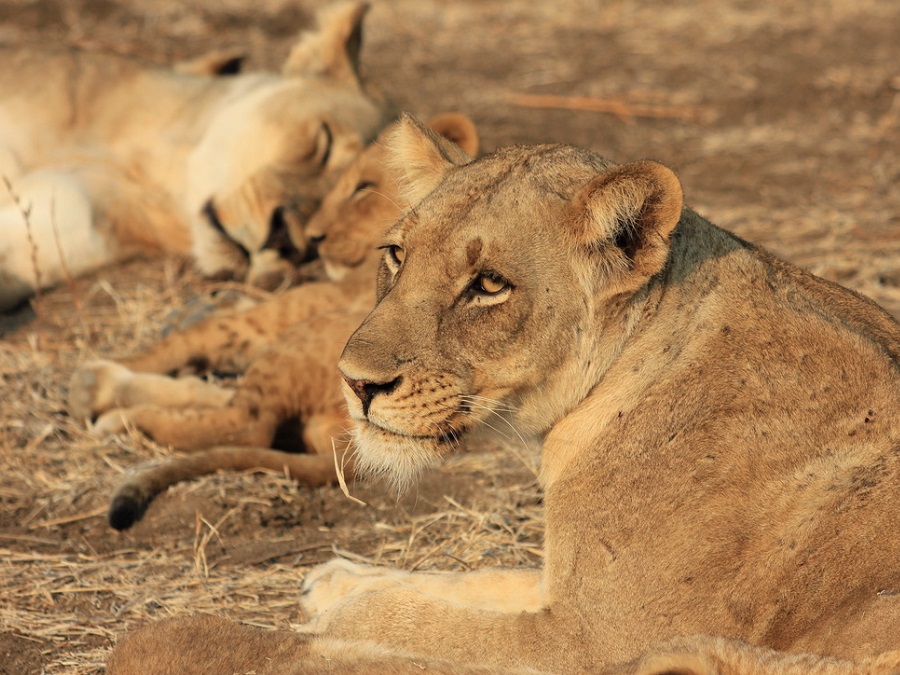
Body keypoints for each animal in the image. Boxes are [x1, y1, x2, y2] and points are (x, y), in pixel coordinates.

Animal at [107, 115, 900, 672]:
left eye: (488, 285)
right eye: (397, 255)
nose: (355, 381)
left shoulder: (591, 638)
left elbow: (426, 624)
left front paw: (338, 612)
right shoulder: (562, 586)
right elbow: (480, 578)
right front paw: (340, 579)